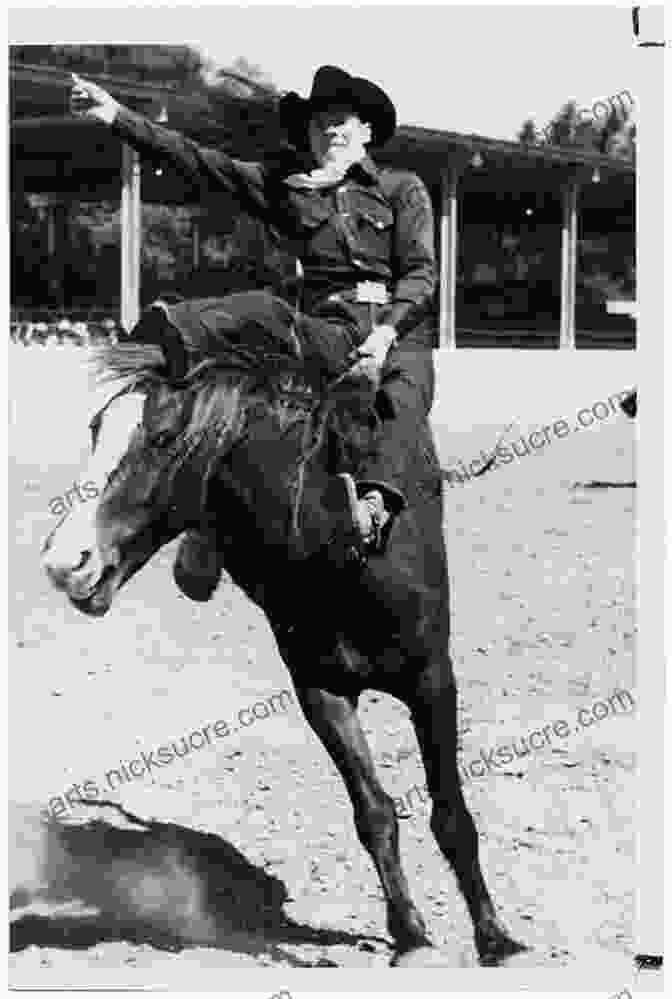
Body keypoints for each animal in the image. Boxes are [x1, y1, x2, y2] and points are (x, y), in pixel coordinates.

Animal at [42, 290, 528, 968]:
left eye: (162, 437)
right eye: (93, 430)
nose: (66, 562)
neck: (334, 543)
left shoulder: (433, 679)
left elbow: (451, 812)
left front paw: (496, 940)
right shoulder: (321, 690)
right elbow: (374, 812)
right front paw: (410, 934)